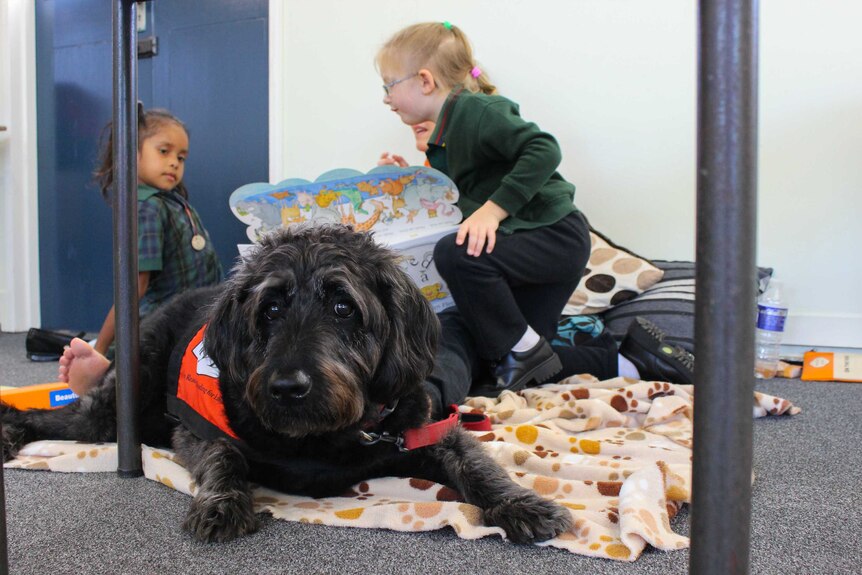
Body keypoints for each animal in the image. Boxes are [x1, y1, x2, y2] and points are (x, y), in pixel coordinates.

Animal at [5, 224, 572, 544]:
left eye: (343, 307)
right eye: (271, 309)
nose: (286, 386)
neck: (326, 436)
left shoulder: (420, 428)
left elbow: (475, 463)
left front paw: (522, 504)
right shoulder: (197, 431)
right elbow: (225, 457)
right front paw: (222, 503)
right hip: (119, 407)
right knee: (56, 417)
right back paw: (17, 423)